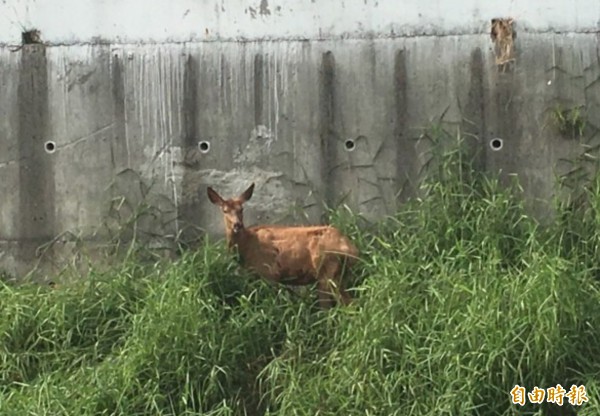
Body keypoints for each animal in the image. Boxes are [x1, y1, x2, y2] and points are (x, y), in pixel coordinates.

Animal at [207, 184, 356, 308]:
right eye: (225, 210)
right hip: (339, 275)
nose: (237, 225)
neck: (247, 244)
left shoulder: (269, 272)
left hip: (326, 271)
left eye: (241, 209)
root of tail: (352, 248)